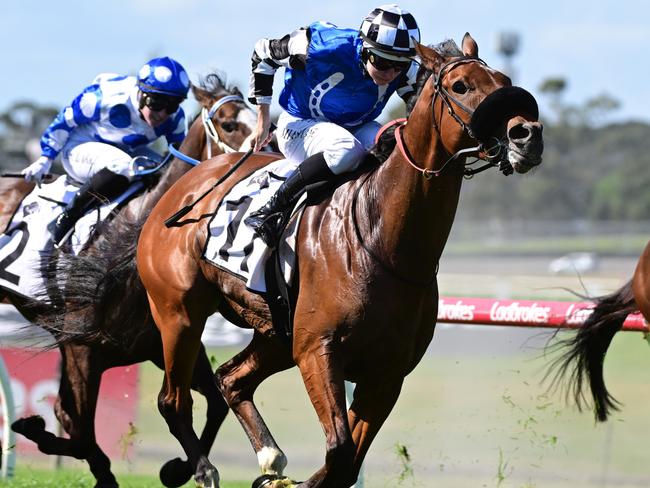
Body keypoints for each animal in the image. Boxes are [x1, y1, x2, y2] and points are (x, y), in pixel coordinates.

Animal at [3, 73, 256, 488]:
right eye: (230, 124)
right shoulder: (81, 350)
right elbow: (78, 427)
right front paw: (31, 427)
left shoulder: (166, 342)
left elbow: (214, 404)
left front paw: (177, 469)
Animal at [132, 37, 540, 488]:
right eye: (461, 85)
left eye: (503, 79)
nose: (526, 134)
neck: (382, 239)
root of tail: (180, 189)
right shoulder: (319, 352)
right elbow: (340, 452)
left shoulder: (386, 373)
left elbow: (344, 463)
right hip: (179, 314)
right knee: (173, 400)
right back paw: (199, 469)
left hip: (275, 334)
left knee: (231, 380)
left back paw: (269, 459)